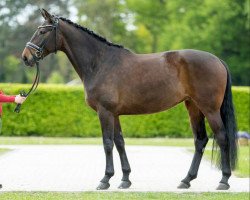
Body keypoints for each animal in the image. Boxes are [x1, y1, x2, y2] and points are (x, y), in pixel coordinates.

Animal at [22, 9, 238, 191]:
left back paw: (223, 181)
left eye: (42, 31)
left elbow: (107, 143)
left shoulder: (105, 112)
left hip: (209, 109)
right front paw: (125, 179)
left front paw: (105, 179)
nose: (25, 57)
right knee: (200, 140)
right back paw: (186, 180)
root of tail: (218, 60)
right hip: (193, 107)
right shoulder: (114, 114)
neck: (100, 63)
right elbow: (120, 143)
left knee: (222, 137)